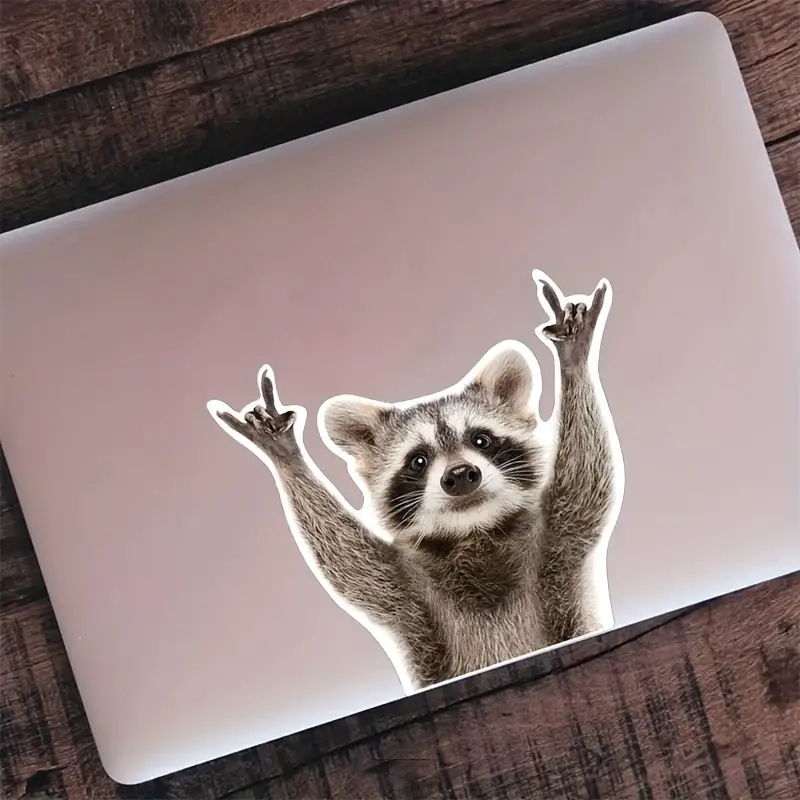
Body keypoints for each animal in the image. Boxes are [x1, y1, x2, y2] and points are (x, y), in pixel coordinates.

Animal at [209, 272, 622, 692]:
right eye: (418, 461)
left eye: (481, 440)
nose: (460, 476)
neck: (473, 533)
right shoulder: (404, 590)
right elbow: (347, 560)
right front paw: (286, 456)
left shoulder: (555, 546)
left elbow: (586, 482)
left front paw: (573, 360)